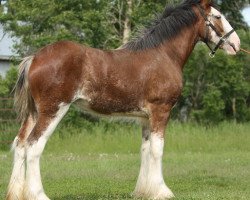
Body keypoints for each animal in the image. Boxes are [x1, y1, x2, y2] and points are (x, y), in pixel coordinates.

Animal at [5, 0, 240, 199]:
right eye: (218, 16)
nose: (236, 44)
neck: (163, 54)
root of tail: (34, 58)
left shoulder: (145, 118)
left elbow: (146, 150)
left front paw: (143, 191)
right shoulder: (161, 111)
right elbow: (158, 150)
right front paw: (162, 191)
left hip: (33, 113)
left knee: (20, 144)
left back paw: (16, 193)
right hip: (53, 110)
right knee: (34, 146)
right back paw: (38, 194)